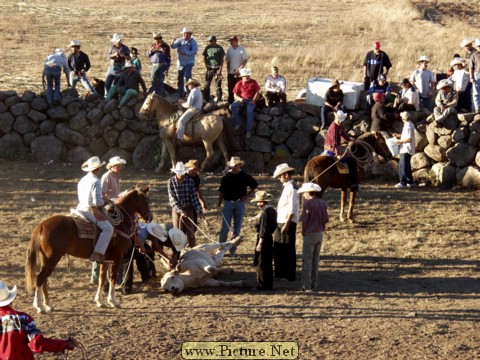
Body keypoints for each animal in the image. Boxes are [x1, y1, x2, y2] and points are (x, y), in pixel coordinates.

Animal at [24, 187, 152, 310]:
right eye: (147, 201)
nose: (150, 218)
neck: (120, 224)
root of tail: (41, 225)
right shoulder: (117, 258)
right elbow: (113, 278)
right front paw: (113, 302)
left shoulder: (105, 260)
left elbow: (102, 279)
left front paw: (100, 302)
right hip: (51, 258)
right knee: (40, 278)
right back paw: (39, 306)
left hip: (45, 259)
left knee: (44, 280)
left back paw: (48, 305)